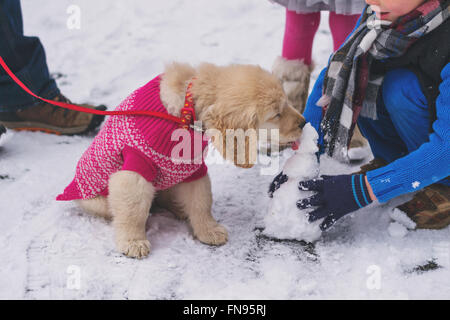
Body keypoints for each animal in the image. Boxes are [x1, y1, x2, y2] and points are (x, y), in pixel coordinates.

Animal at [66, 62, 306, 258]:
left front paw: (208, 230)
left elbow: (201, 201)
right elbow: (133, 210)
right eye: (276, 114)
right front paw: (133, 241)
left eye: (286, 104)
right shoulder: (135, 169)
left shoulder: (192, 167)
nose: (304, 122)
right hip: (97, 200)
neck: (186, 112)